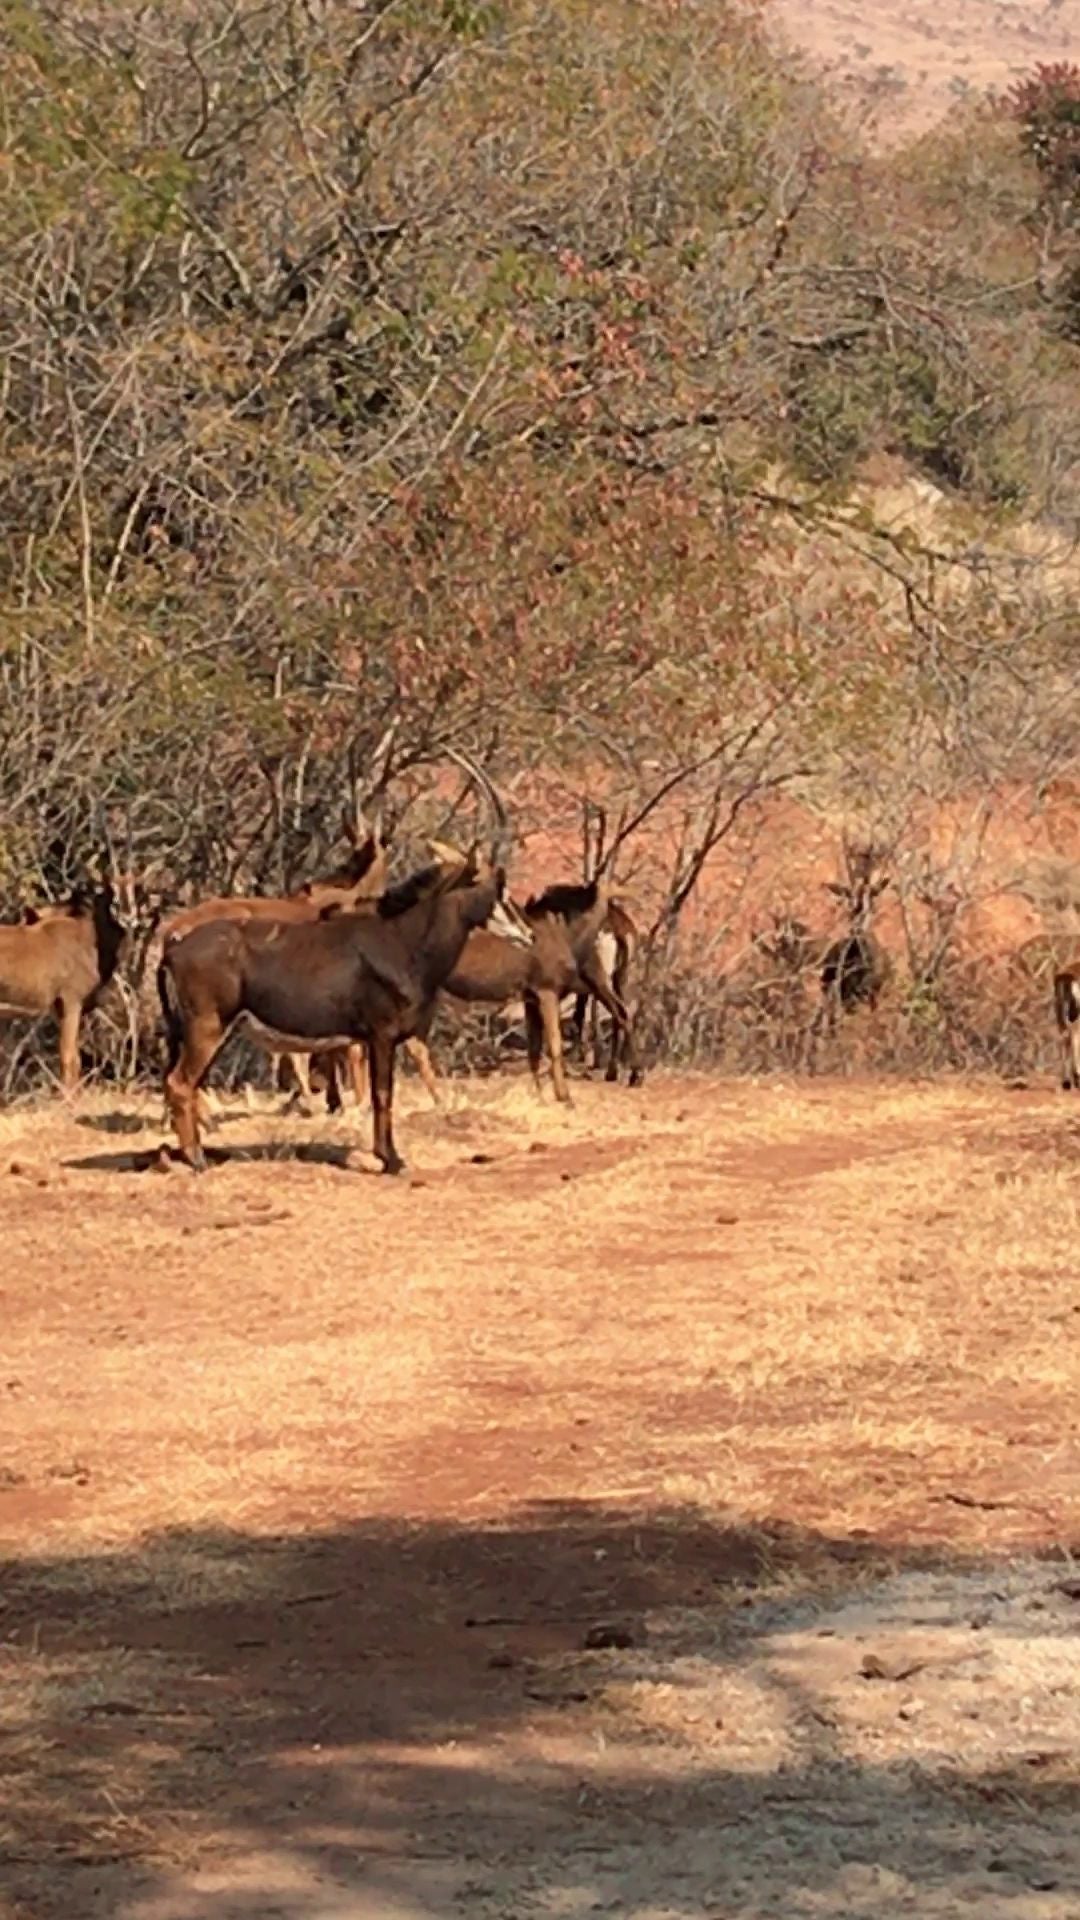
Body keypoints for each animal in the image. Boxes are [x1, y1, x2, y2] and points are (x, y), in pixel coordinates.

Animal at [0, 875, 133, 1098]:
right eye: (108, 889)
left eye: (136, 887)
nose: (128, 916)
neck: (88, 939)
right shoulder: (71, 1002)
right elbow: (70, 1057)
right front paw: (70, 1099)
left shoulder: (58, 1009)